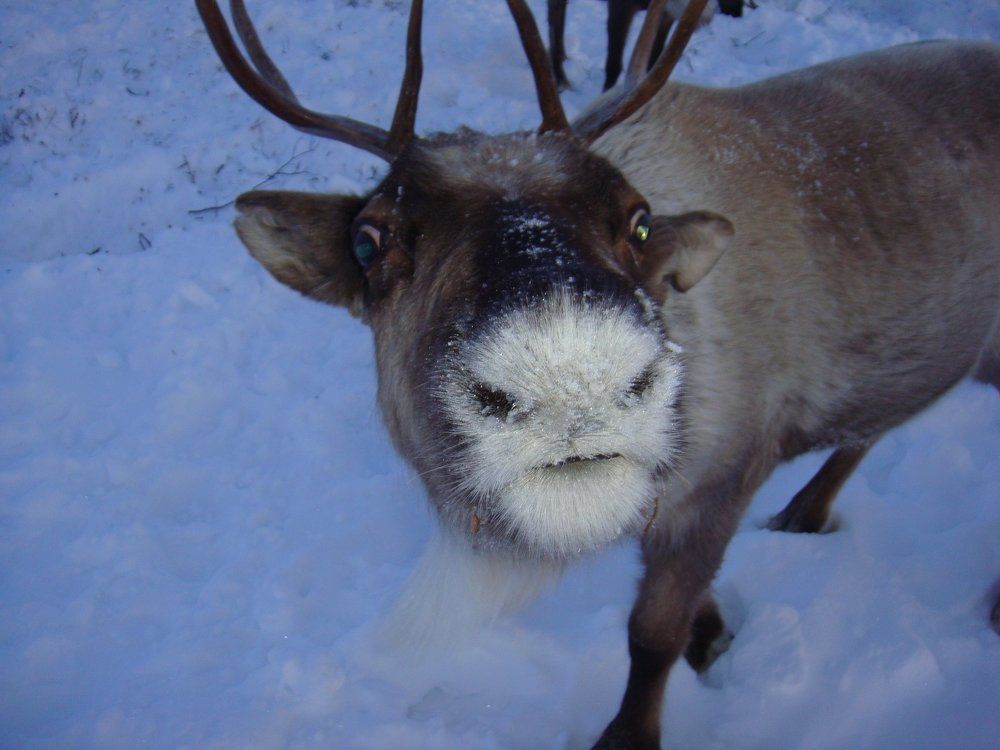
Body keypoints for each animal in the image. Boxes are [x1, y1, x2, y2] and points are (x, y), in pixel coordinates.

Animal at [195, 1, 1000, 747]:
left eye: (639, 221)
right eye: (368, 242)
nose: (570, 382)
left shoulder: (725, 477)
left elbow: (652, 636)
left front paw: (633, 728)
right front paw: (713, 630)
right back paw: (804, 513)